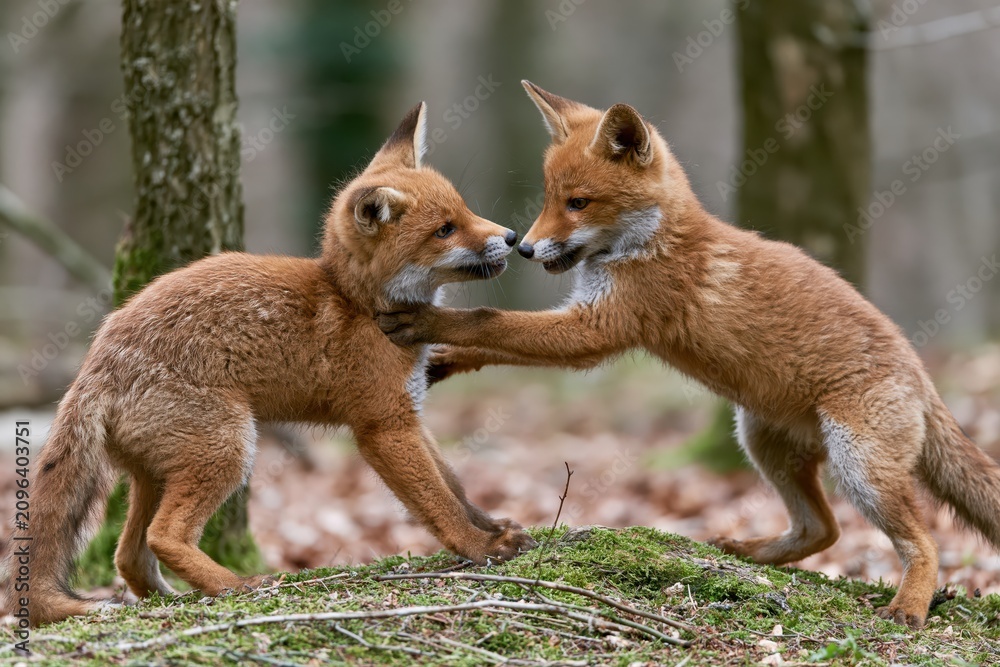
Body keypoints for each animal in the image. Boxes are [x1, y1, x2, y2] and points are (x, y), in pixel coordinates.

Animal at [1, 102, 534, 627]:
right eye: (445, 229)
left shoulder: (410, 413)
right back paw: (237, 586)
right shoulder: (382, 425)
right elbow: (439, 504)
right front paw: (482, 548)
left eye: (465, 210)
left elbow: (455, 486)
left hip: (157, 472)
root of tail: (95, 362)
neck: (358, 301)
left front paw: (492, 525)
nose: (512, 237)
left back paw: (168, 599)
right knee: (163, 536)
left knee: (128, 553)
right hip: (228, 449)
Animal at [378, 82, 1000, 628]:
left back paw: (910, 605)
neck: (651, 242)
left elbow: (490, 320)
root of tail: (922, 374)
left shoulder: (597, 330)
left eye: (578, 203)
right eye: (551, 199)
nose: (524, 248)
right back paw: (745, 553)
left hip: (859, 465)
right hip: (761, 440)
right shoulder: (589, 319)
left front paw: (424, 321)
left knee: (922, 540)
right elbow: (494, 337)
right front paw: (442, 360)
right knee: (823, 531)